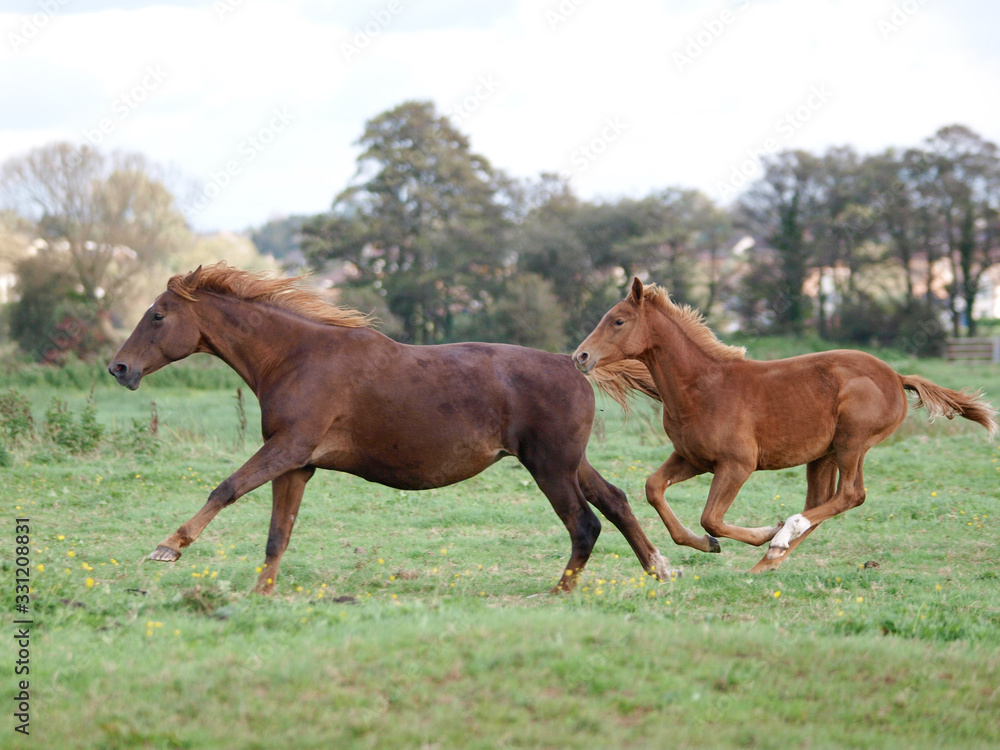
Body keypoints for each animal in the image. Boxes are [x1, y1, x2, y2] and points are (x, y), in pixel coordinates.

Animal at [108, 263, 671, 594]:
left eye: (157, 315)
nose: (119, 368)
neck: (296, 358)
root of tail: (572, 364)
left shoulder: (287, 448)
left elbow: (225, 488)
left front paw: (167, 547)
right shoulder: (297, 465)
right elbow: (277, 535)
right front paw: (260, 594)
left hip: (550, 467)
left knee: (584, 524)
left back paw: (560, 592)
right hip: (570, 462)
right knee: (615, 501)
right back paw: (659, 568)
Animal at [572, 277, 997, 573]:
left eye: (618, 321)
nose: (581, 356)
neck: (702, 386)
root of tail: (896, 376)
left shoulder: (737, 464)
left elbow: (711, 517)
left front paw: (761, 533)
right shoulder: (692, 458)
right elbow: (653, 488)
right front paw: (708, 544)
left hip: (852, 443)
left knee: (850, 495)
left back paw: (779, 538)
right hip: (823, 456)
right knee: (823, 501)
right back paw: (770, 558)